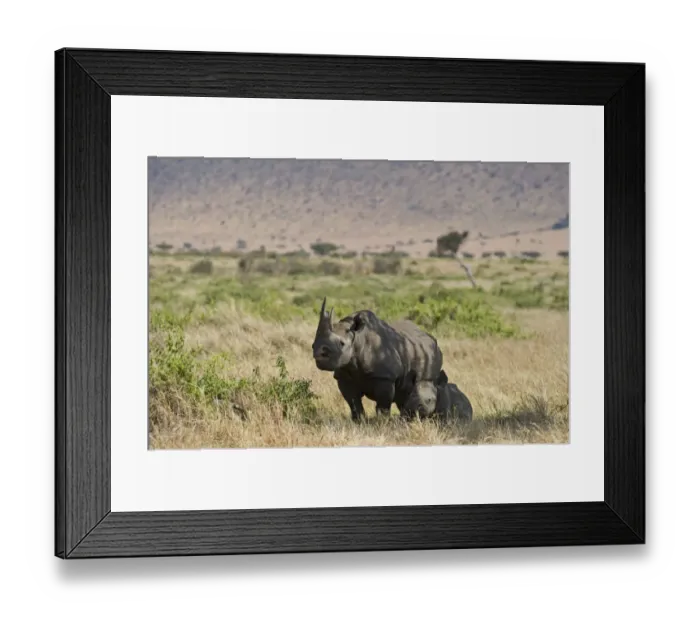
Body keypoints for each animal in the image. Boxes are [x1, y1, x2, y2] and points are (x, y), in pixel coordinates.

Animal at [311, 297, 443, 421]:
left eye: (342, 344)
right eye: (313, 344)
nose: (319, 353)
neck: (358, 340)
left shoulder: (385, 377)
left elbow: (383, 406)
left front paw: (382, 423)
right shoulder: (343, 375)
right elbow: (353, 403)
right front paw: (359, 422)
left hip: (431, 353)